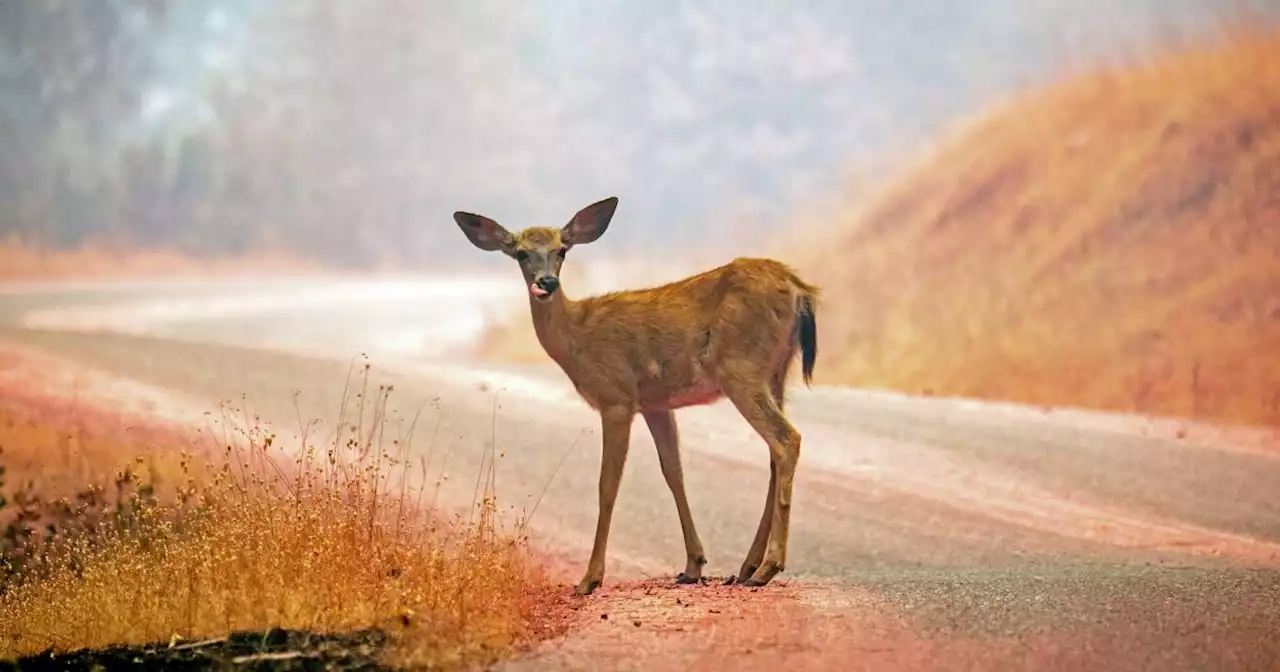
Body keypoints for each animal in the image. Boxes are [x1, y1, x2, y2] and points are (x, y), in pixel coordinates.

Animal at [453, 197, 819, 593]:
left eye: (561, 250)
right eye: (520, 253)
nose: (546, 282)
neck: (577, 340)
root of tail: (800, 289)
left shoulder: (616, 397)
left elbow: (607, 484)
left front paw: (590, 578)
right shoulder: (656, 404)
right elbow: (673, 471)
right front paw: (693, 565)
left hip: (740, 368)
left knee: (787, 440)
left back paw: (768, 567)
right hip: (776, 372)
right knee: (774, 454)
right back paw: (747, 566)